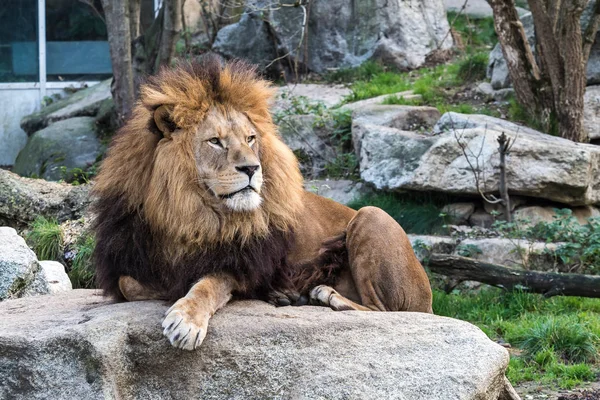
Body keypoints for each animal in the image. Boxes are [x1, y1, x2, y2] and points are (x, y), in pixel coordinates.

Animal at [92, 55, 432, 350]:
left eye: (250, 138)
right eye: (215, 141)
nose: (252, 168)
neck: (187, 212)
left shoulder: (238, 265)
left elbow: (206, 285)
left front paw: (186, 319)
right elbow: (129, 283)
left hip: (372, 215)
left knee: (386, 312)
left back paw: (326, 296)